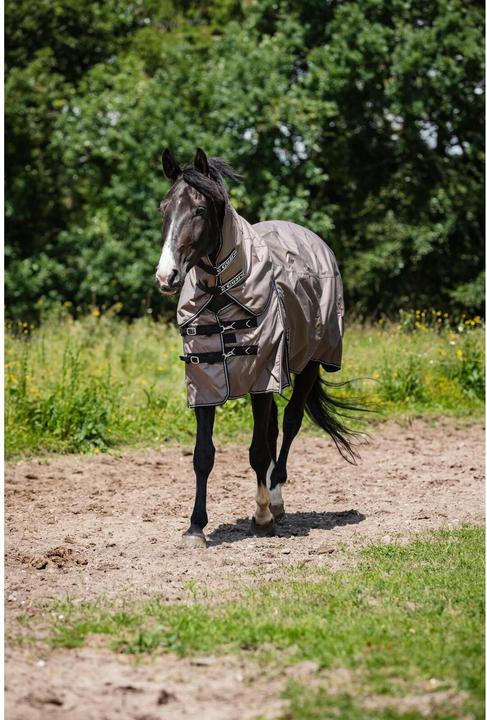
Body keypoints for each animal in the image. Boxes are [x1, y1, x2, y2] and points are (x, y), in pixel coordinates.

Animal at [156, 147, 362, 547]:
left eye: (199, 210)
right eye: (164, 208)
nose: (166, 276)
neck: (222, 294)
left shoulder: (261, 376)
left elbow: (257, 450)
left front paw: (263, 515)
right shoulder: (205, 379)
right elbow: (203, 455)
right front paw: (196, 527)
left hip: (309, 365)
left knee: (291, 424)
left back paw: (276, 499)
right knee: (274, 430)